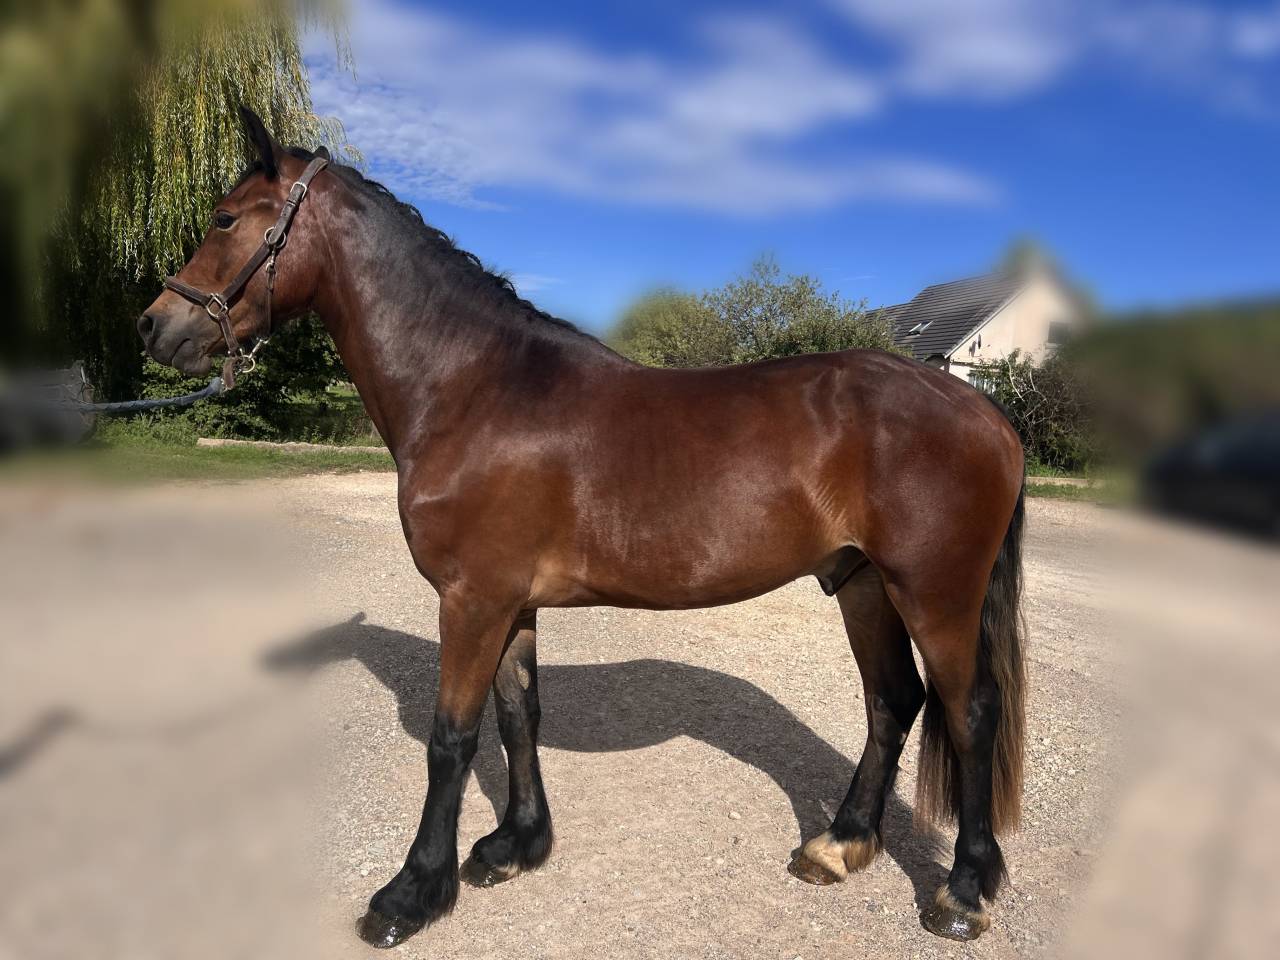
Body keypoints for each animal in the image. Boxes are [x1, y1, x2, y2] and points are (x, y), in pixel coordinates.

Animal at [138, 108, 1027, 949]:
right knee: (892, 702)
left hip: (935, 594)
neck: (474, 389)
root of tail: (983, 408)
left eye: (224, 218)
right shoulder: (509, 603)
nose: (154, 326)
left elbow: (451, 738)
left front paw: (412, 894)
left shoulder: (471, 600)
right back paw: (839, 846)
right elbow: (517, 717)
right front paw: (515, 848)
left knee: (970, 713)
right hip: (861, 583)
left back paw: (962, 892)